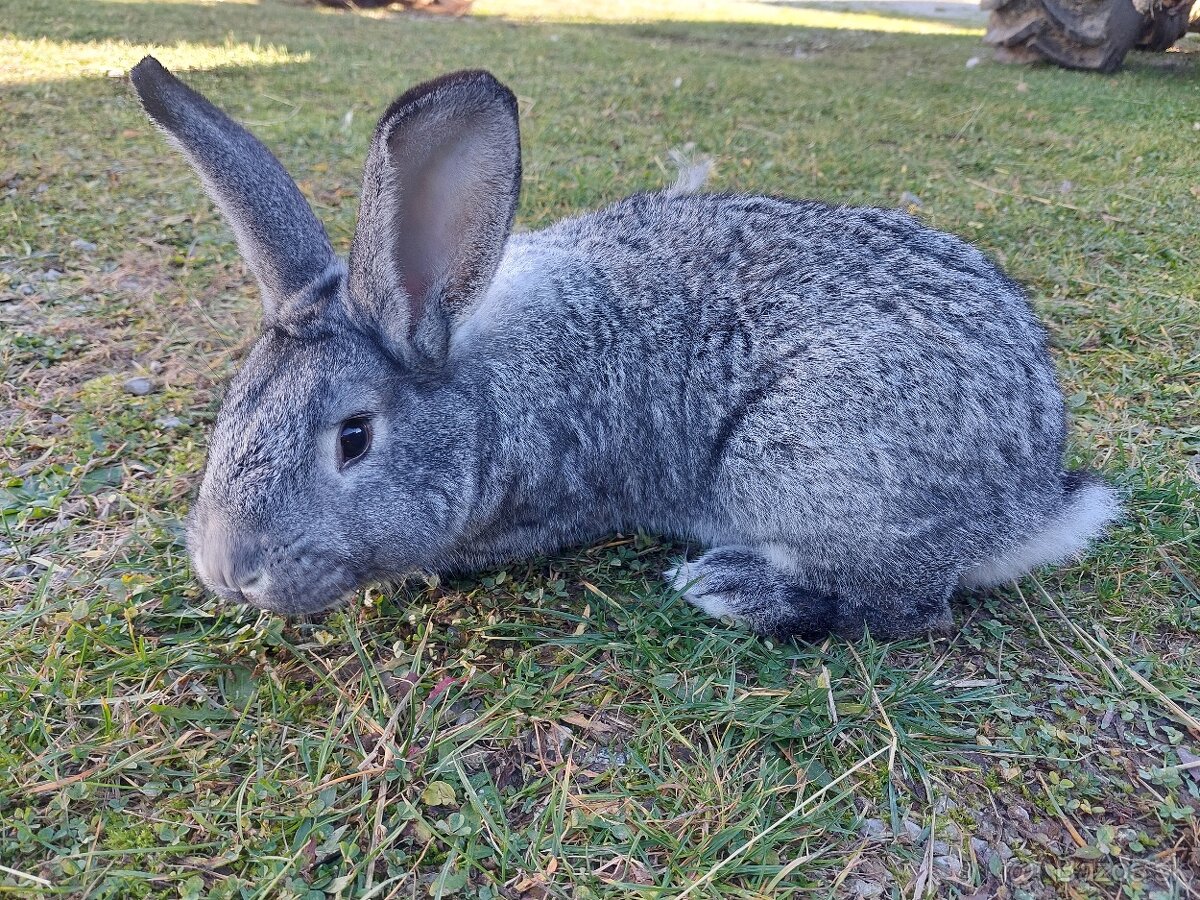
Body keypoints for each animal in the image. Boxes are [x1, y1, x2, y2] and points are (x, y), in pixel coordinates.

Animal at [133, 58, 1123, 643]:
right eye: (232, 410)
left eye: (353, 438)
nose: (227, 571)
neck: (474, 372)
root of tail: (1031, 501)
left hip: (800, 460)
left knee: (906, 607)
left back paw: (736, 589)